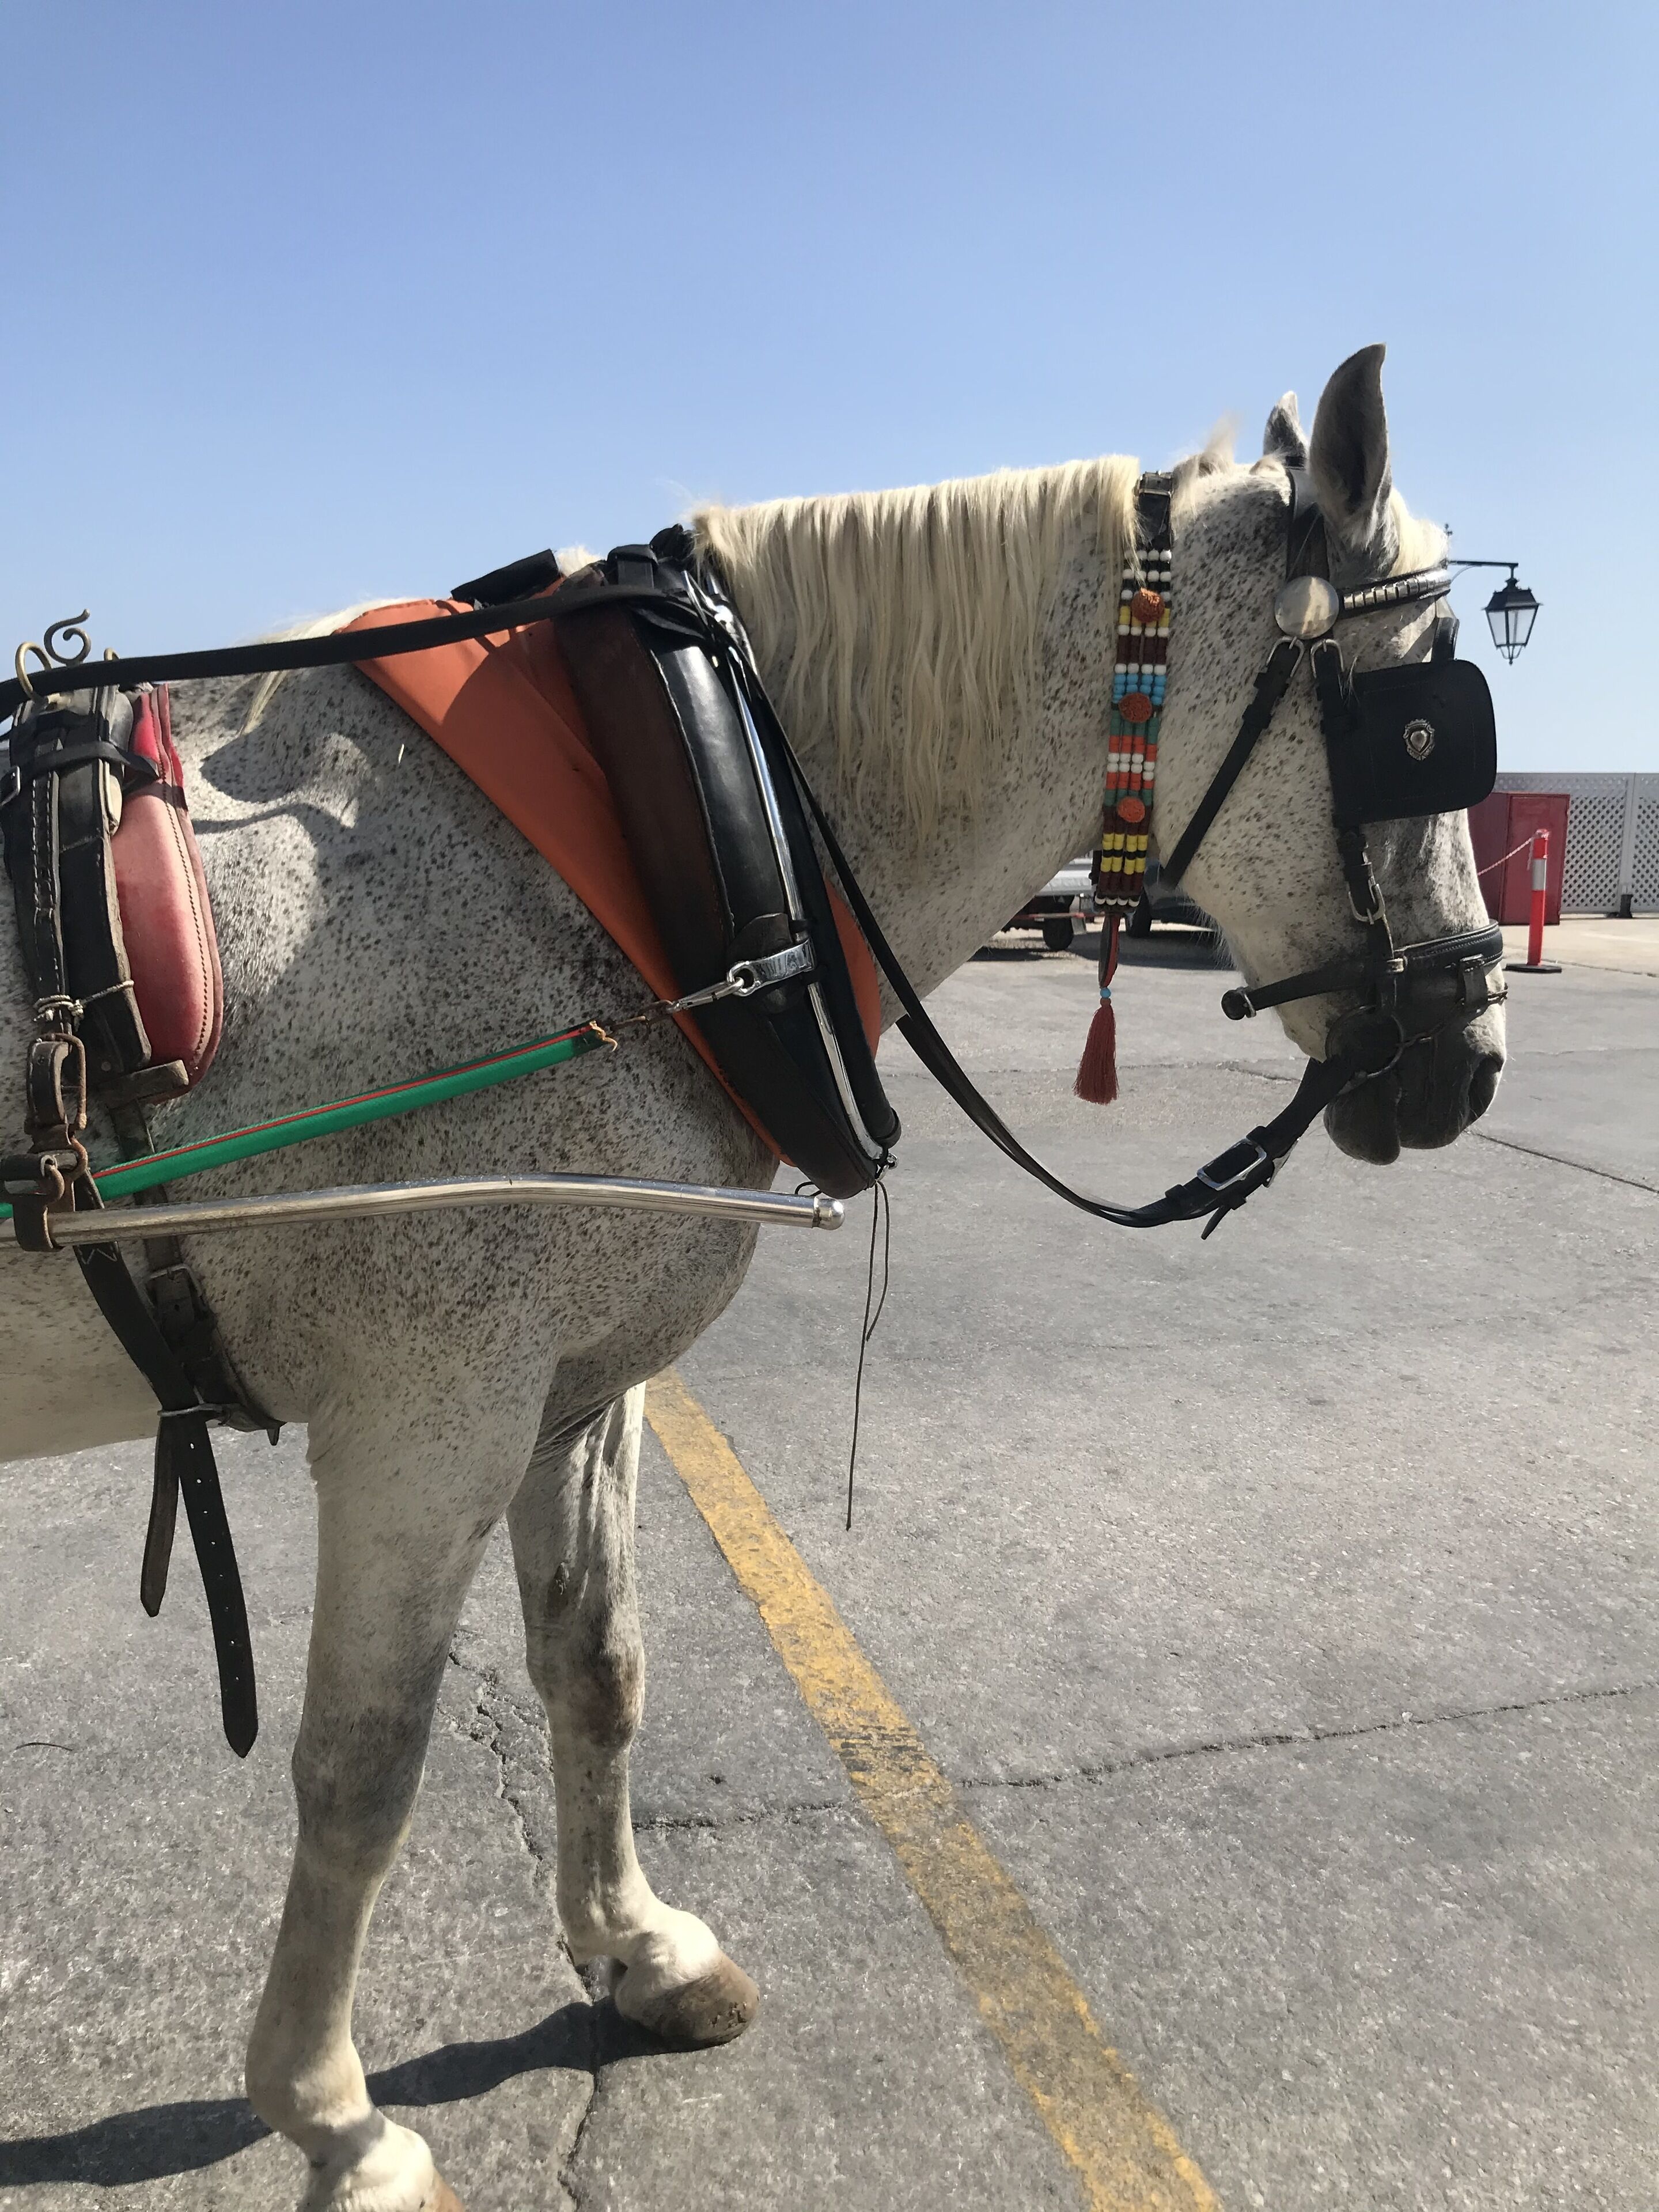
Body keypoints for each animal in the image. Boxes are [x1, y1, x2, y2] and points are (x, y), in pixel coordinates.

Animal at [0, 345, 1505, 2211]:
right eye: (1426, 724)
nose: (1468, 1057)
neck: (650, 822)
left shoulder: (570, 1388)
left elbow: (599, 1665)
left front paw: (635, 1949)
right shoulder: (428, 1412)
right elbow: (364, 1767)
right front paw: (334, 2114)